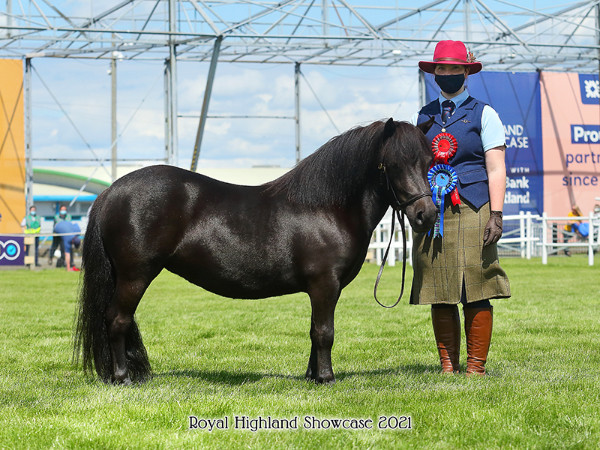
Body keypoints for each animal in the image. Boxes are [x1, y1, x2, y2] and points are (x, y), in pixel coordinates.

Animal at [75, 118, 436, 384]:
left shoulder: (319, 290)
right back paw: (122, 377)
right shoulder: (325, 285)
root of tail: (110, 191)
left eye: (429, 161)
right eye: (393, 164)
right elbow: (325, 332)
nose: (427, 215)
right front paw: (326, 378)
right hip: (135, 275)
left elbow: (313, 331)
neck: (327, 208)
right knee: (117, 319)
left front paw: (312, 376)